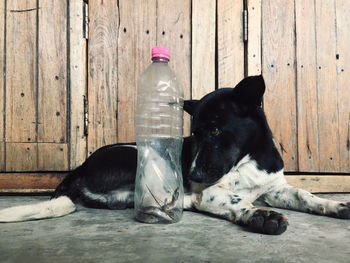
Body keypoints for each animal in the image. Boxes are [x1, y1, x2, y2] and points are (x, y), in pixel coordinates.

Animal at [0, 75, 350, 235]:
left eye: (216, 130)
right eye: (194, 134)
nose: (192, 175)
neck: (248, 159)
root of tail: (77, 168)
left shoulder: (275, 188)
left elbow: (305, 195)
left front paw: (335, 205)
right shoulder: (212, 192)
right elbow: (236, 200)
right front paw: (261, 217)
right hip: (145, 158)